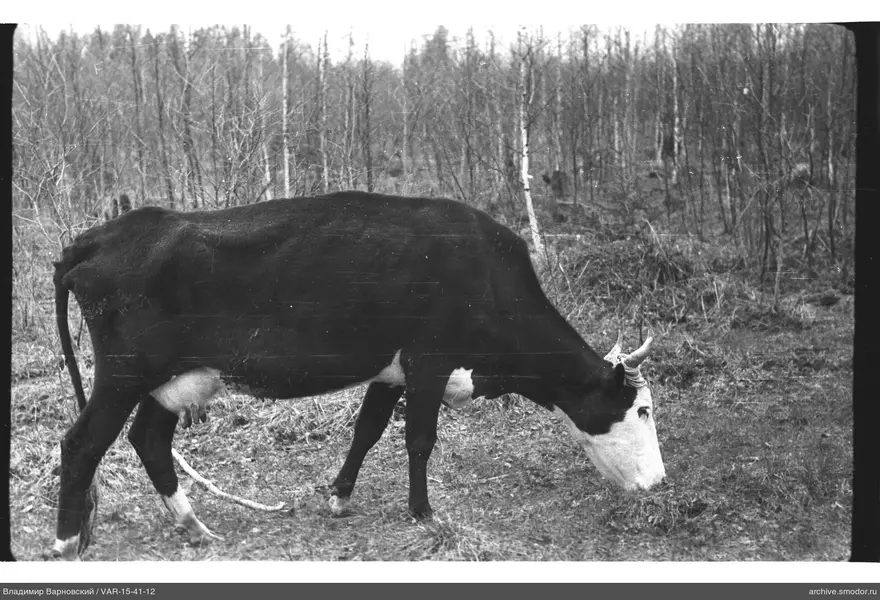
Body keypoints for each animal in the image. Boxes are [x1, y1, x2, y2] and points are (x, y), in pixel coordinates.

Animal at [52, 190, 666, 560]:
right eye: (642, 410)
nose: (660, 482)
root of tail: (99, 236)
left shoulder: (390, 371)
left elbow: (367, 430)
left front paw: (340, 497)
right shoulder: (429, 361)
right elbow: (419, 438)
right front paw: (424, 513)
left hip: (173, 379)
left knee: (147, 439)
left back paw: (192, 525)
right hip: (122, 376)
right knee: (82, 444)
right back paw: (65, 542)